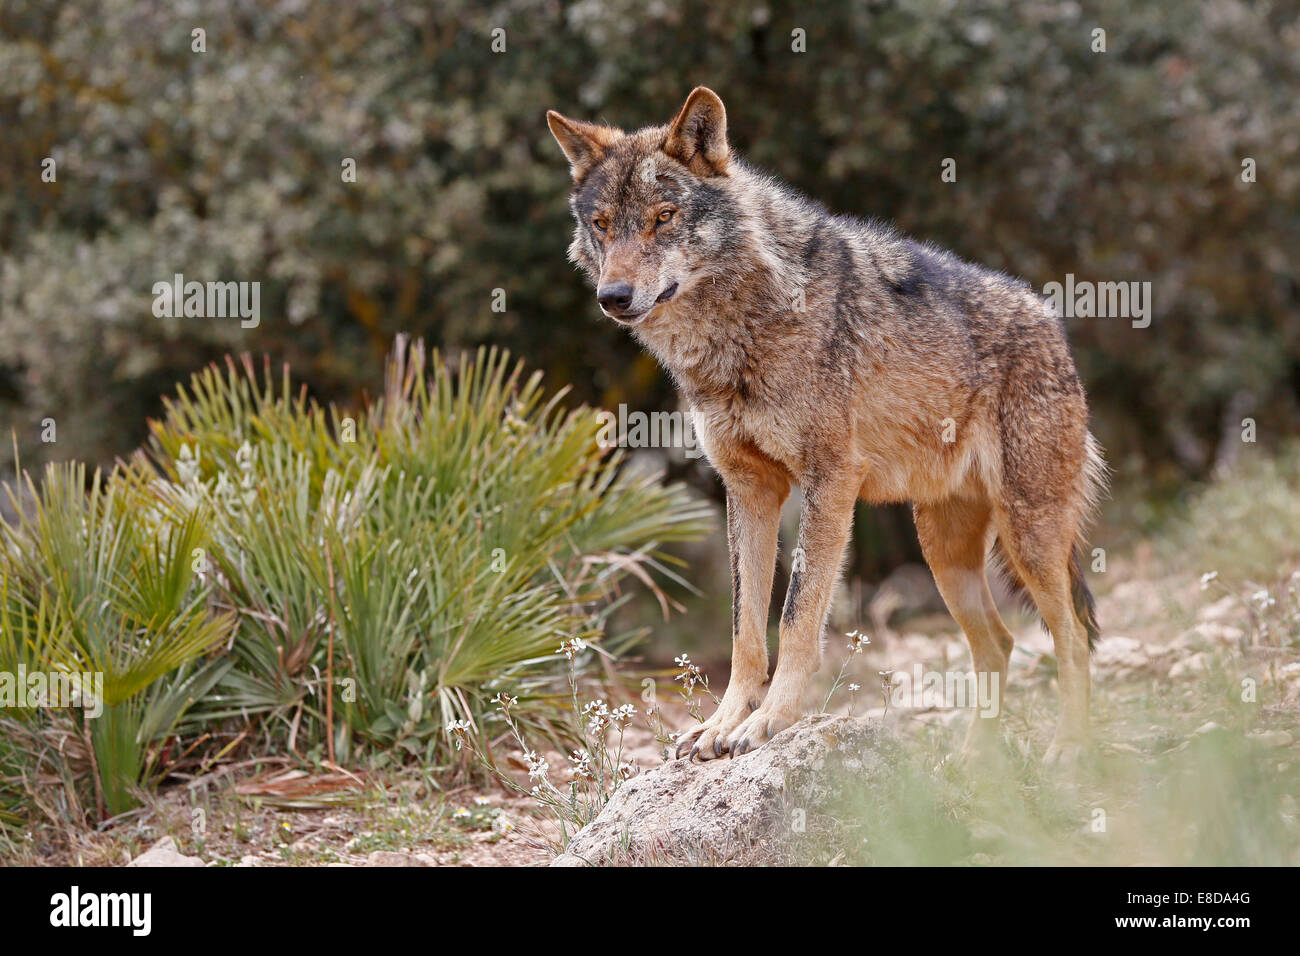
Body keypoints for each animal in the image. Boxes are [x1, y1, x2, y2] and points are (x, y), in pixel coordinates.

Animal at [547, 88, 1106, 766]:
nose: (614, 296)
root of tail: (1053, 323)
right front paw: (721, 724)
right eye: (603, 225)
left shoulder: (830, 481)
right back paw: (973, 763)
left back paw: (1069, 749)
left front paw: (767, 724)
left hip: (1027, 535)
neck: (740, 334)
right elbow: (744, 627)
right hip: (942, 549)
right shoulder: (749, 490)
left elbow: (795, 617)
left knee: (1072, 636)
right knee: (998, 643)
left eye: (664, 216)